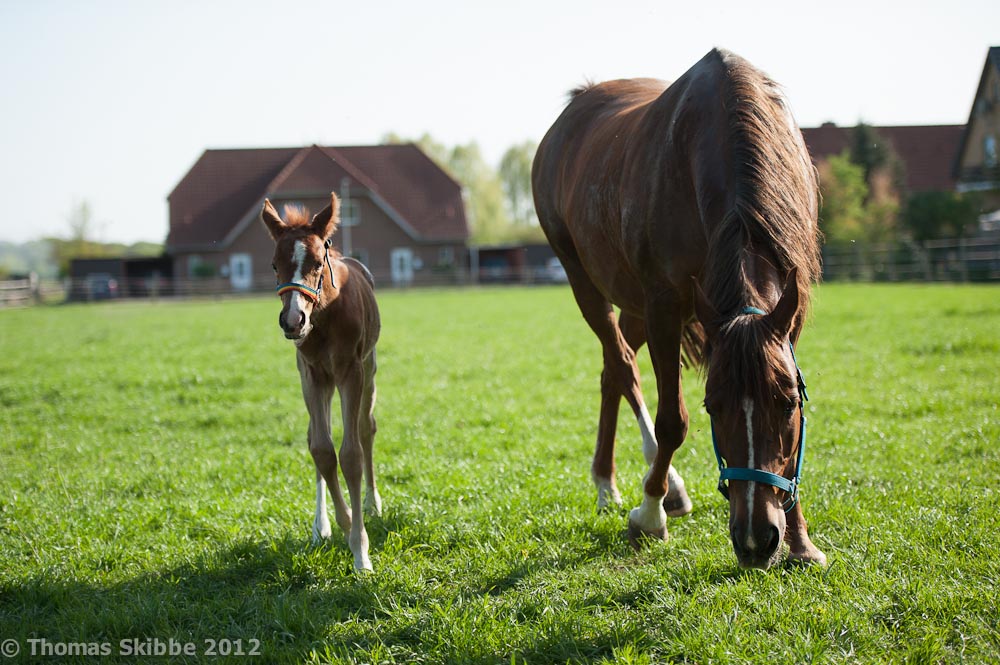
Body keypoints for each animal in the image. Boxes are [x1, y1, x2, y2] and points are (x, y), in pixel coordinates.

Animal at [260, 193, 380, 572]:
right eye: (274, 265)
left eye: (316, 262)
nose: (292, 320)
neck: (325, 315)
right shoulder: (312, 375)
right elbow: (322, 451)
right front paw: (342, 523)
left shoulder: (351, 372)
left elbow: (352, 454)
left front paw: (360, 553)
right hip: (317, 381)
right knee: (315, 437)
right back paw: (320, 526)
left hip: (368, 369)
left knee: (366, 428)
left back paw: (373, 503)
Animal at [532, 46, 828, 568]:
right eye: (713, 405)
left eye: (788, 403)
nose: (756, 539)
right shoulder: (665, 308)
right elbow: (672, 421)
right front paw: (650, 515)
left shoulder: (788, 313)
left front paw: (800, 543)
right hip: (584, 280)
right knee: (623, 366)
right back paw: (639, 485)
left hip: (634, 304)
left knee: (613, 370)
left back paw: (618, 479)